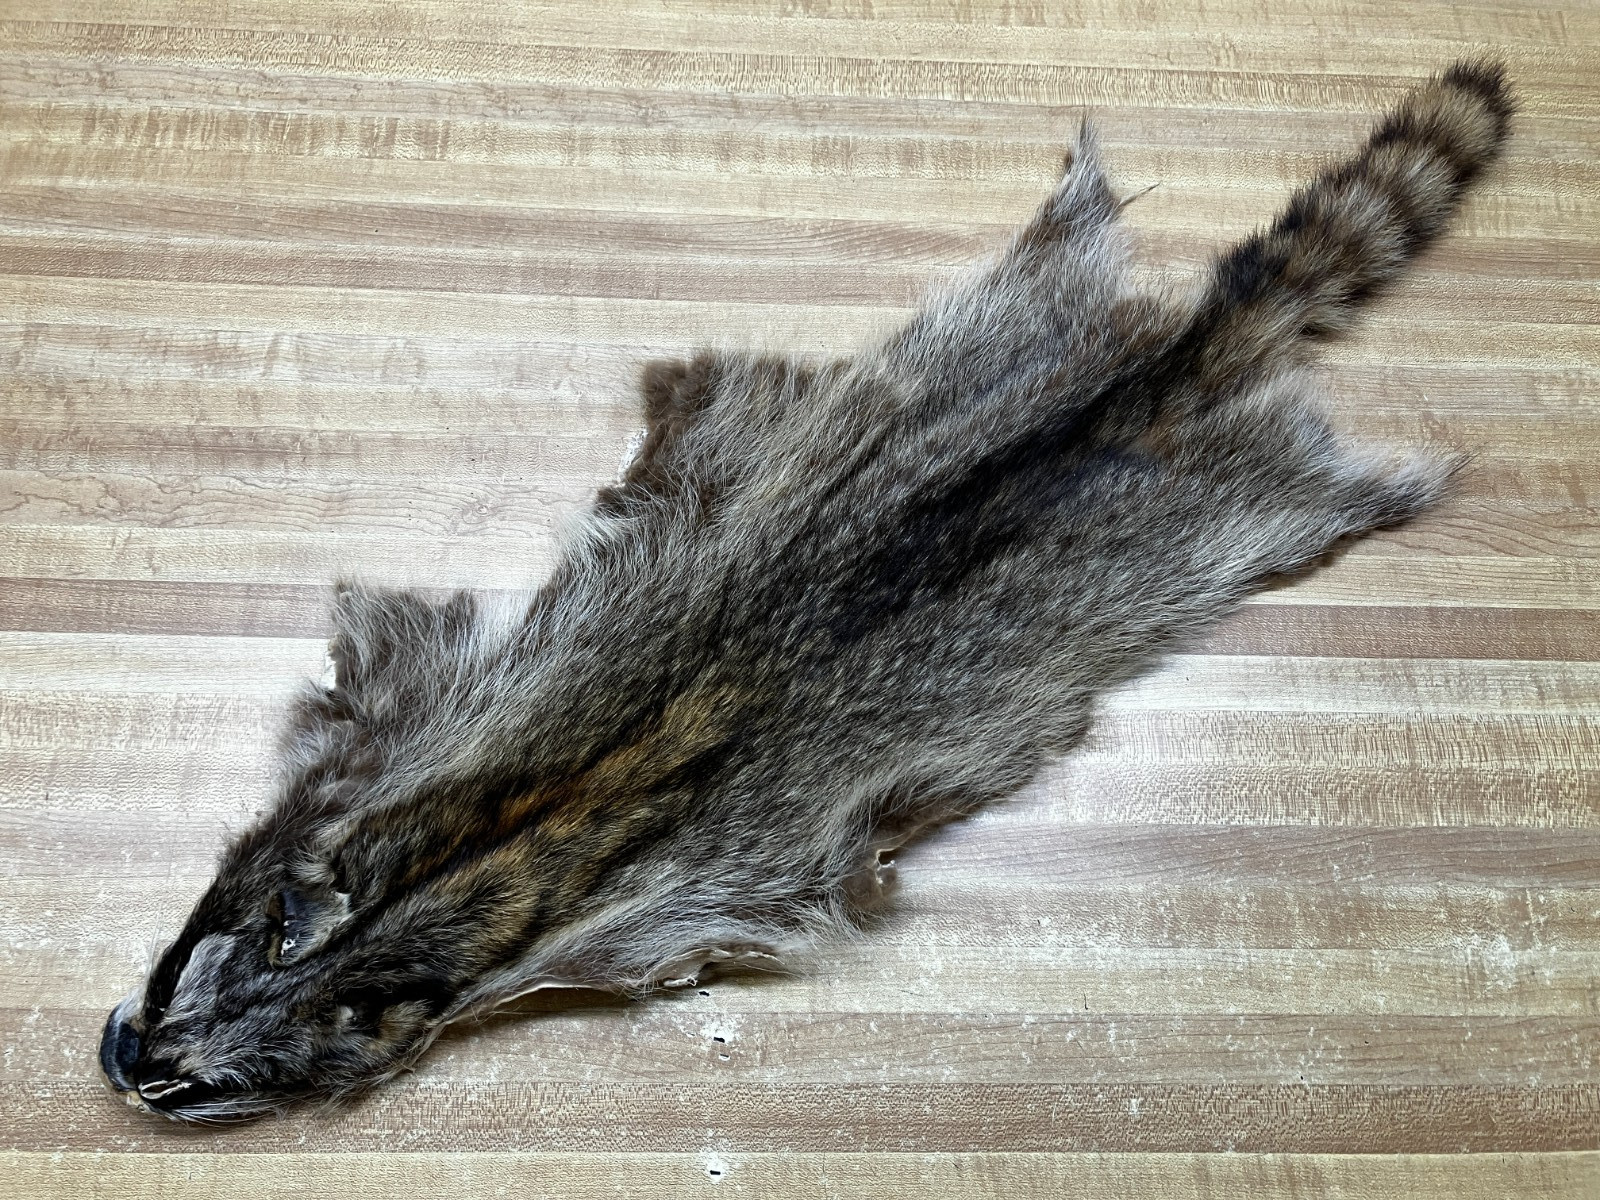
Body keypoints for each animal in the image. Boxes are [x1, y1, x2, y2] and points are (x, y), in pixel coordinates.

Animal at [100, 60, 1513, 1121]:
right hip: (1006, 327)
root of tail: (1150, 382)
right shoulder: (402, 742)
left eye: (194, 1087)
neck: (412, 909)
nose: (122, 1066)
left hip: (1234, 505)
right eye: (172, 993)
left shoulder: (605, 873)